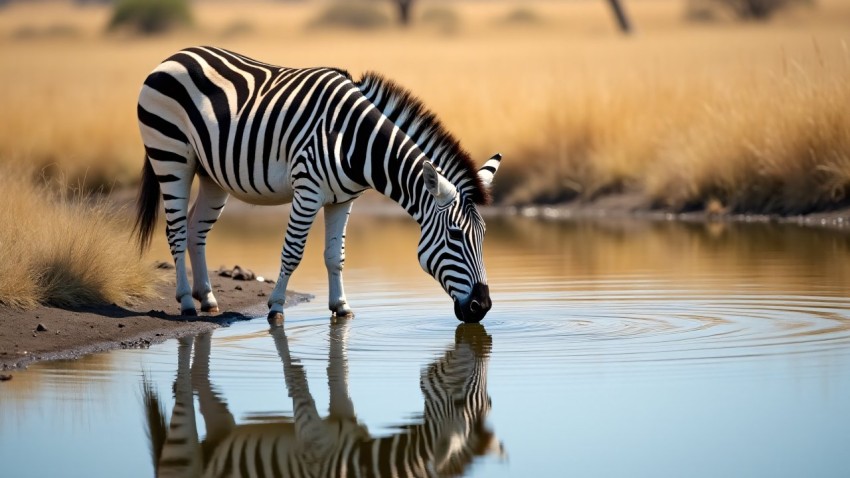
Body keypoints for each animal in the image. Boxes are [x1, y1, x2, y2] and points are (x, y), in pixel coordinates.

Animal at [135, 46, 500, 324]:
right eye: (455, 235)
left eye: (483, 236)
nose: (482, 307)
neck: (353, 141)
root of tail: (176, 55)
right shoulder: (307, 191)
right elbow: (293, 251)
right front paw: (276, 307)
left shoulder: (343, 200)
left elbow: (335, 255)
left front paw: (341, 306)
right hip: (171, 156)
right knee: (176, 230)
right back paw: (186, 301)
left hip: (211, 174)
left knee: (197, 229)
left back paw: (208, 298)